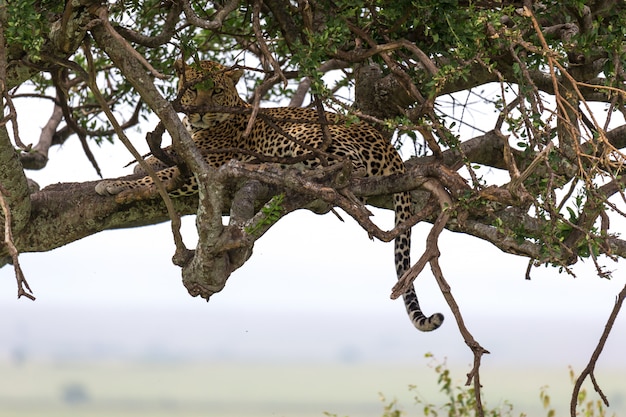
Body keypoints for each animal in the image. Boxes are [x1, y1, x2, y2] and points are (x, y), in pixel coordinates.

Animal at [95, 59, 442, 332]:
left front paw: (114, 183)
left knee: (346, 167)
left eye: (216, 91)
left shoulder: (206, 168)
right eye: (193, 89)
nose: (202, 111)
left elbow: (163, 177)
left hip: (302, 134)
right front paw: (138, 166)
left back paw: (267, 166)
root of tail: (389, 146)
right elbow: (158, 161)